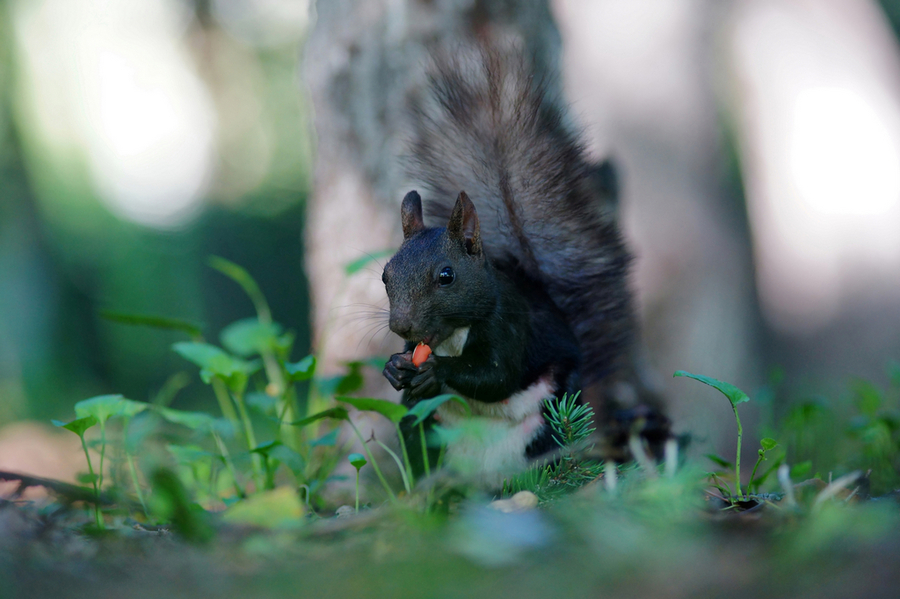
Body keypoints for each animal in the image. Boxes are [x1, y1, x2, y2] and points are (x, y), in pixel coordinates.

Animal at [382, 44, 660, 480]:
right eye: (385, 276)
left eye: (446, 275)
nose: (401, 325)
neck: (453, 335)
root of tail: (481, 475)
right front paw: (394, 369)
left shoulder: (511, 326)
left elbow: (498, 376)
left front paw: (438, 372)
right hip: (422, 430)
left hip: (552, 419)